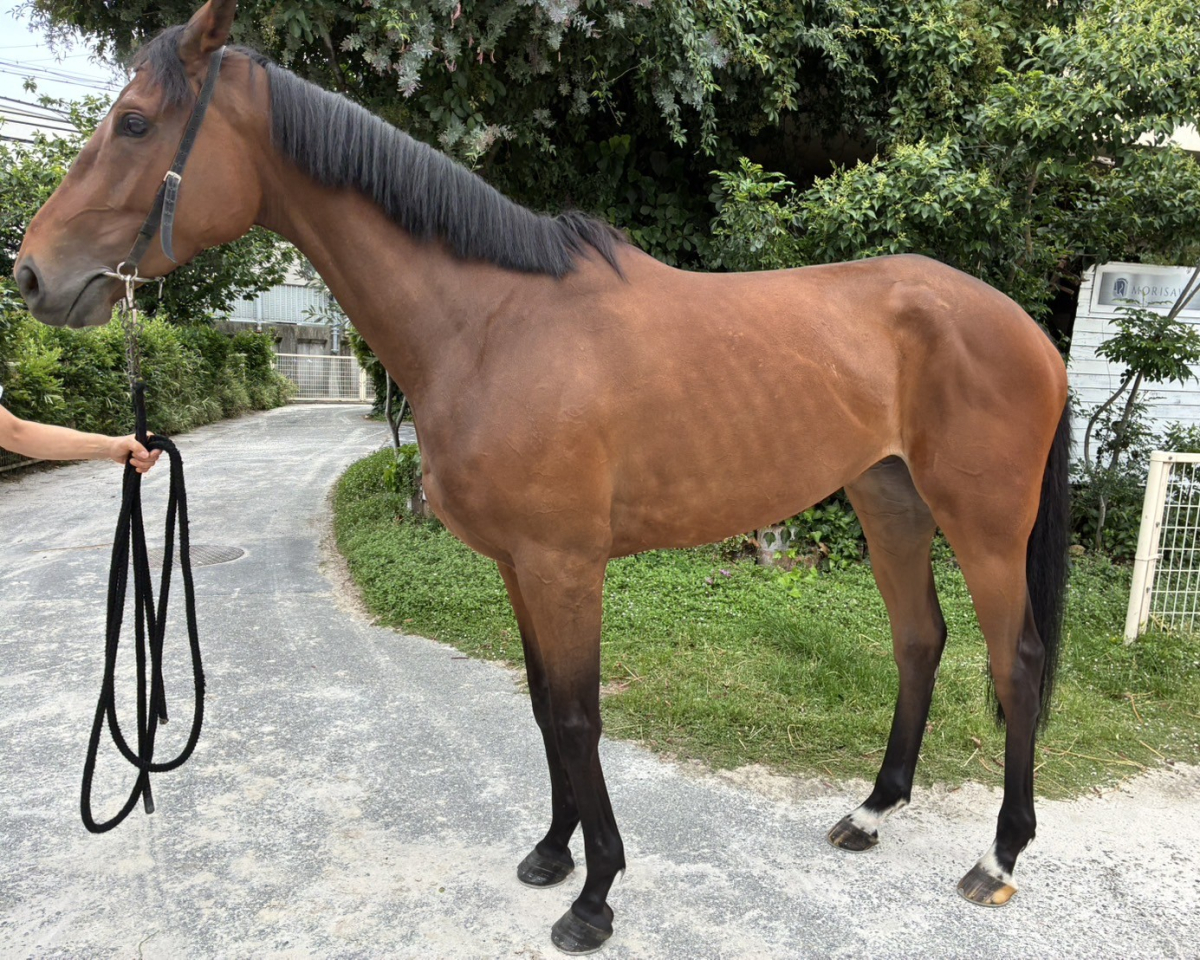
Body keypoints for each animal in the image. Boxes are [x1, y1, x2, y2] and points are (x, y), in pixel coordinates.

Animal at [14, 1, 1070, 952]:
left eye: (135, 123)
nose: (30, 275)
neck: (490, 326)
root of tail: (1022, 325)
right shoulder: (517, 566)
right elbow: (537, 705)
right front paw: (554, 854)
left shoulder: (565, 566)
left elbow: (576, 713)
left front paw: (595, 898)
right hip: (888, 497)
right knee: (919, 641)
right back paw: (872, 812)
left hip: (983, 523)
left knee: (1015, 661)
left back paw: (999, 857)